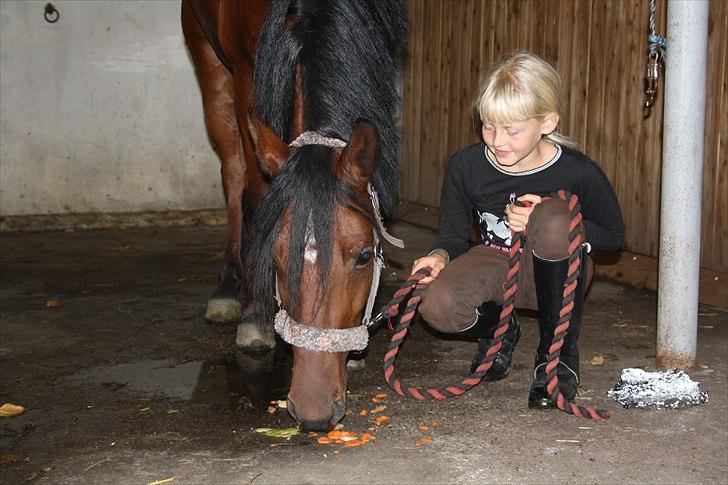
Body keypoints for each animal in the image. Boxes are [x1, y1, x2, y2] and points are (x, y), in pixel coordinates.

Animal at [181, 1, 410, 430]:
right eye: (273, 257)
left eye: (364, 256)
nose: (312, 410)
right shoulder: (246, 77)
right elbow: (254, 193)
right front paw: (256, 317)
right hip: (209, 61)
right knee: (233, 171)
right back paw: (228, 288)